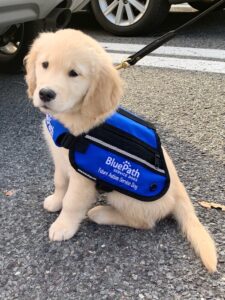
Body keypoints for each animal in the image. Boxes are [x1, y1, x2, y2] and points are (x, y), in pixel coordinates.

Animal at [25, 28, 217, 272]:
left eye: (74, 73)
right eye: (45, 64)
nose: (45, 94)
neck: (73, 119)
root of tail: (179, 193)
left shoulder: (81, 177)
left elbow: (72, 202)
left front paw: (63, 226)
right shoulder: (60, 161)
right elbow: (59, 183)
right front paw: (55, 201)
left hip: (124, 197)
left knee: (144, 222)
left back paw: (101, 213)